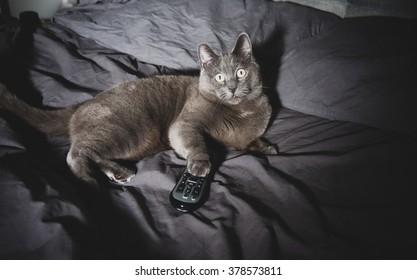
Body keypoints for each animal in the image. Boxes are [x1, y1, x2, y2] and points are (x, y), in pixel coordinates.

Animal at [0, 33, 276, 186]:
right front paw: (199, 164)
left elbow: (250, 141)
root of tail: (81, 105)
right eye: (219, 77)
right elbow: (195, 141)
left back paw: (119, 173)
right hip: (129, 129)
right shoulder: (185, 123)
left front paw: (267, 147)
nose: (231, 87)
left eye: (240, 73)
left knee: (93, 152)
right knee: (76, 152)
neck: (240, 111)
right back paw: (91, 180)